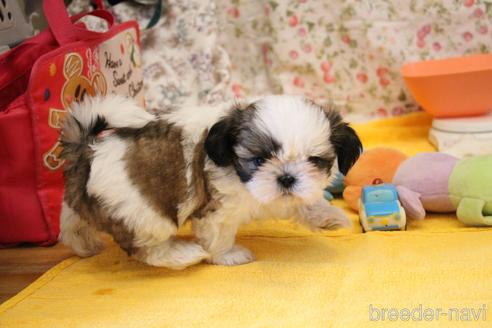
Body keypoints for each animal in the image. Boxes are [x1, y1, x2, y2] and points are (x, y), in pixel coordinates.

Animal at [60, 95, 362, 270]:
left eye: (314, 160)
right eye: (259, 159)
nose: (286, 177)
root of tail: (89, 149)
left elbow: (300, 202)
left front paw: (328, 217)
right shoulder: (217, 209)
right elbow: (220, 235)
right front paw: (227, 256)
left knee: (73, 224)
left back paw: (85, 245)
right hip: (146, 214)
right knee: (147, 249)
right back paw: (185, 254)